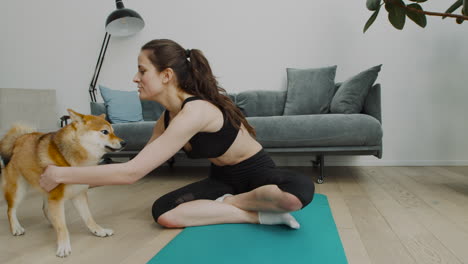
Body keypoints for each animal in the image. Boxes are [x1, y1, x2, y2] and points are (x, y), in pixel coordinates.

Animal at [0, 109, 126, 258]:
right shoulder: (56, 198)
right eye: (105, 132)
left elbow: (88, 217)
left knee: (45, 209)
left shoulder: (78, 194)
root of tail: (18, 139)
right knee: (10, 210)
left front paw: (99, 230)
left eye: (114, 131)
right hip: (18, 190)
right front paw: (64, 246)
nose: (124, 143)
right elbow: (62, 227)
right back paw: (16, 227)